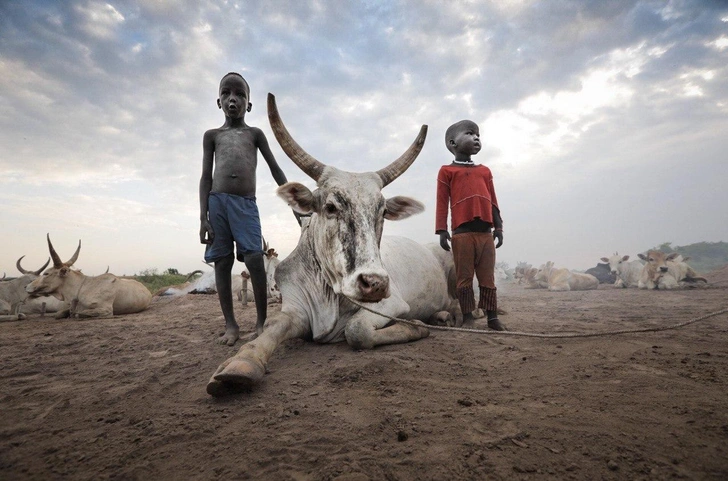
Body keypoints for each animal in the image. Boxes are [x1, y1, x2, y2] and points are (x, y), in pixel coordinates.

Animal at [205, 94, 458, 398]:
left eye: (383, 211)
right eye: (330, 207)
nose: (374, 283)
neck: (329, 291)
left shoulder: (392, 302)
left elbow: (357, 331)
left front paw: (417, 326)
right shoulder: (295, 307)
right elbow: (271, 327)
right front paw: (240, 363)